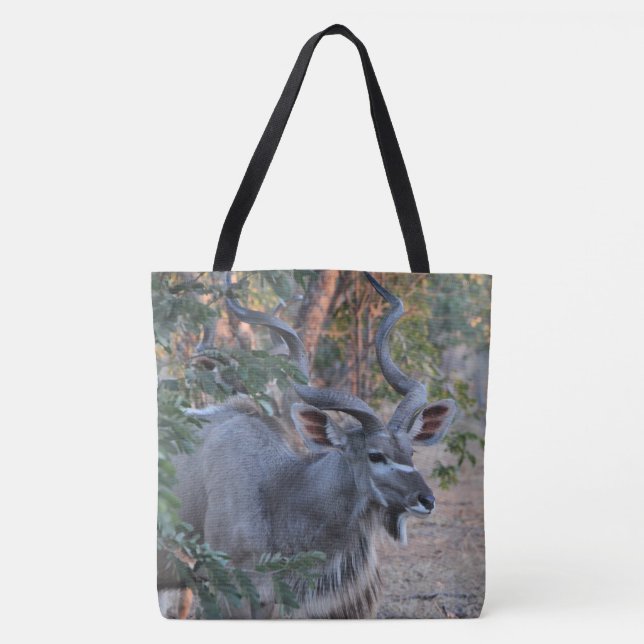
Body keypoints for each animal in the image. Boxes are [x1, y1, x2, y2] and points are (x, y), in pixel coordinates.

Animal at [158, 272, 457, 618]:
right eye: (375, 455)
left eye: (411, 452)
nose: (427, 500)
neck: (280, 488)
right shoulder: (228, 590)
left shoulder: (269, 599)